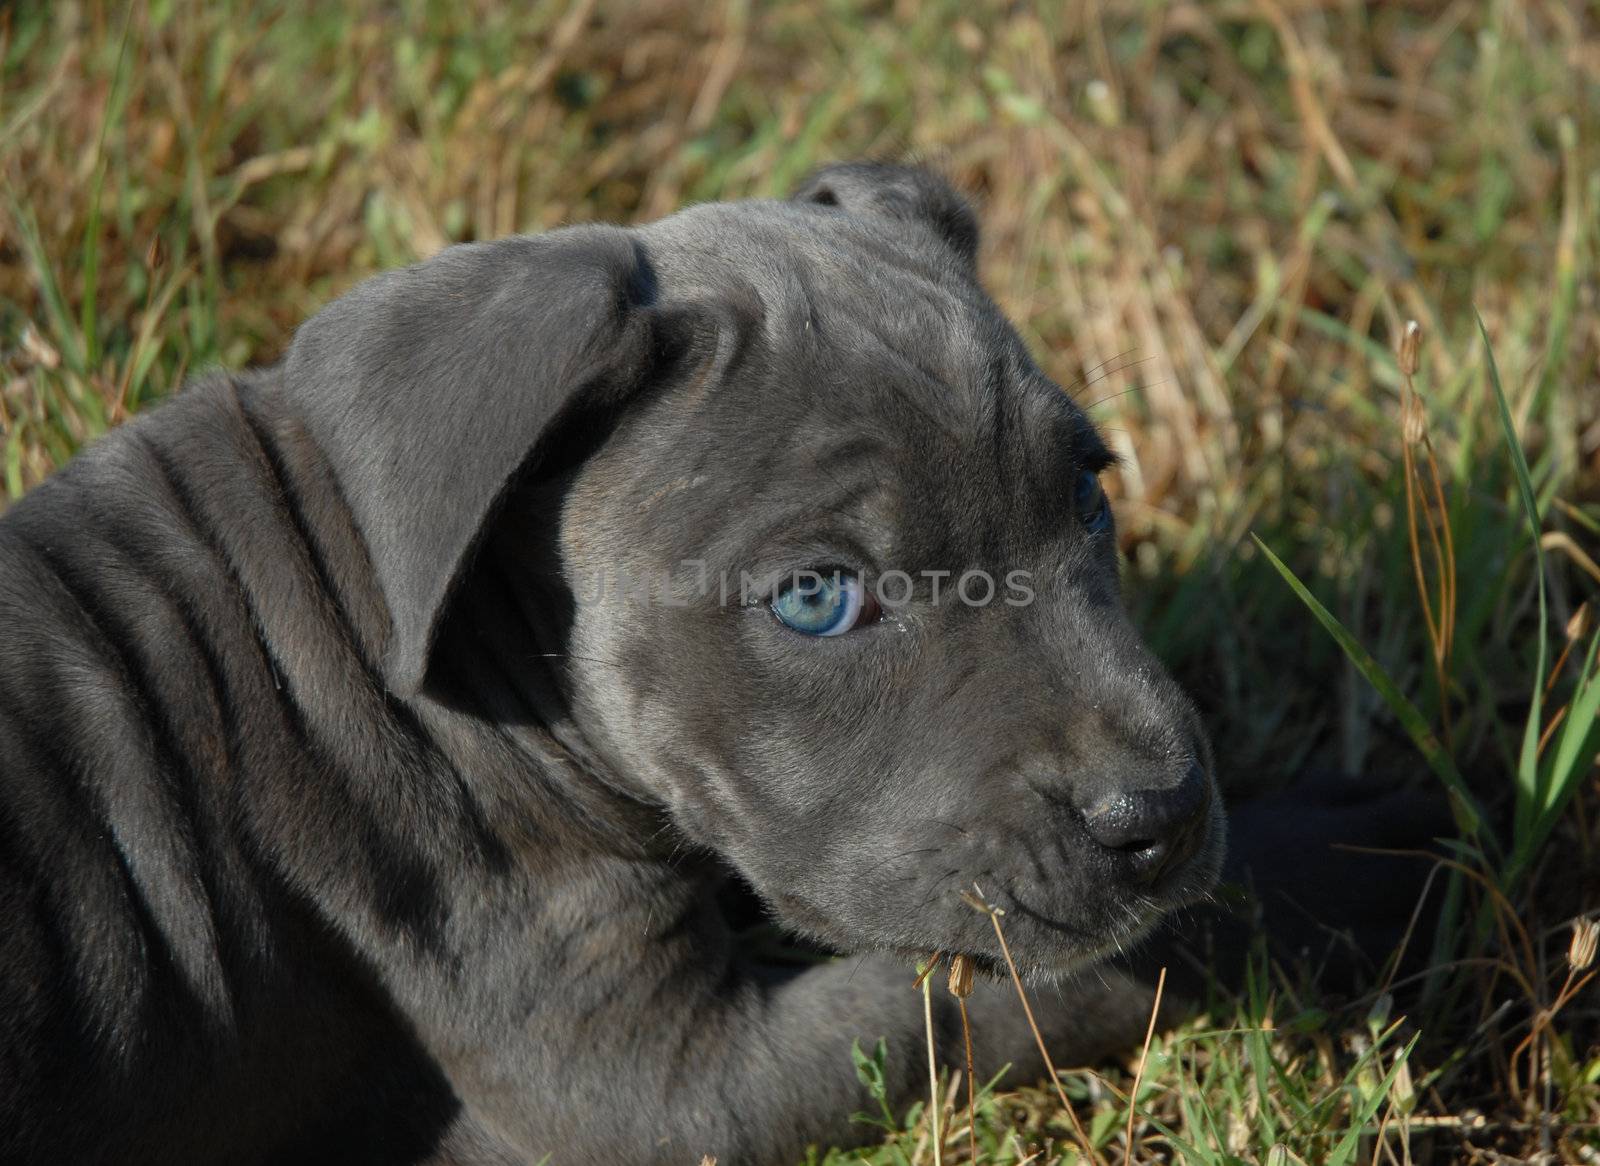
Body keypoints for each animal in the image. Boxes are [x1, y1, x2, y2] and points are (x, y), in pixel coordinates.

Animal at [0, 166, 1427, 1164]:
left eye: (1088, 495)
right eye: (815, 597)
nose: (1162, 815)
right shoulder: (664, 1088)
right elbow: (979, 999)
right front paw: (1349, 856)